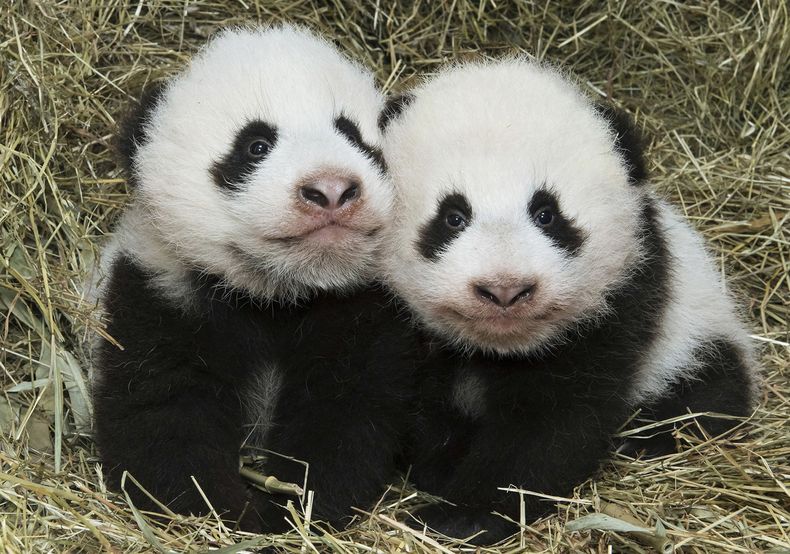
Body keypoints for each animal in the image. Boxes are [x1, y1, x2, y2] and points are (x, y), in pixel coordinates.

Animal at [92, 25, 416, 533]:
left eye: (355, 137)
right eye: (255, 146)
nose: (331, 189)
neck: (277, 294)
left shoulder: (363, 310)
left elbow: (345, 412)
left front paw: (292, 511)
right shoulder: (157, 292)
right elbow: (161, 410)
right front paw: (223, 511)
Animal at [379, 59, 758, 544]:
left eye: (547, 214)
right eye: (453, 216)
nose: (505, 290)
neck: (498, 347)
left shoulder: (620, 303)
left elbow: (554, 423)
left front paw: (463, 515)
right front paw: (441, 470)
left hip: (695, 334)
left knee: (708, 392)